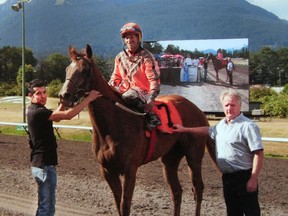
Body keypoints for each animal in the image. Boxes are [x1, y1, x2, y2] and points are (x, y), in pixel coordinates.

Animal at [59, 44, 216, 216]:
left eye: (85, 69)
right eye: (67, 69)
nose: (64, 96)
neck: (113, 125)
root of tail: (198, 110)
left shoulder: (130, 169)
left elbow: (125, 205)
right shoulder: (107, 170)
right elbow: (118, 203)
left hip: (194, 155)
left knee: (198, 189)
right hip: (170, 159)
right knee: (176, 191)